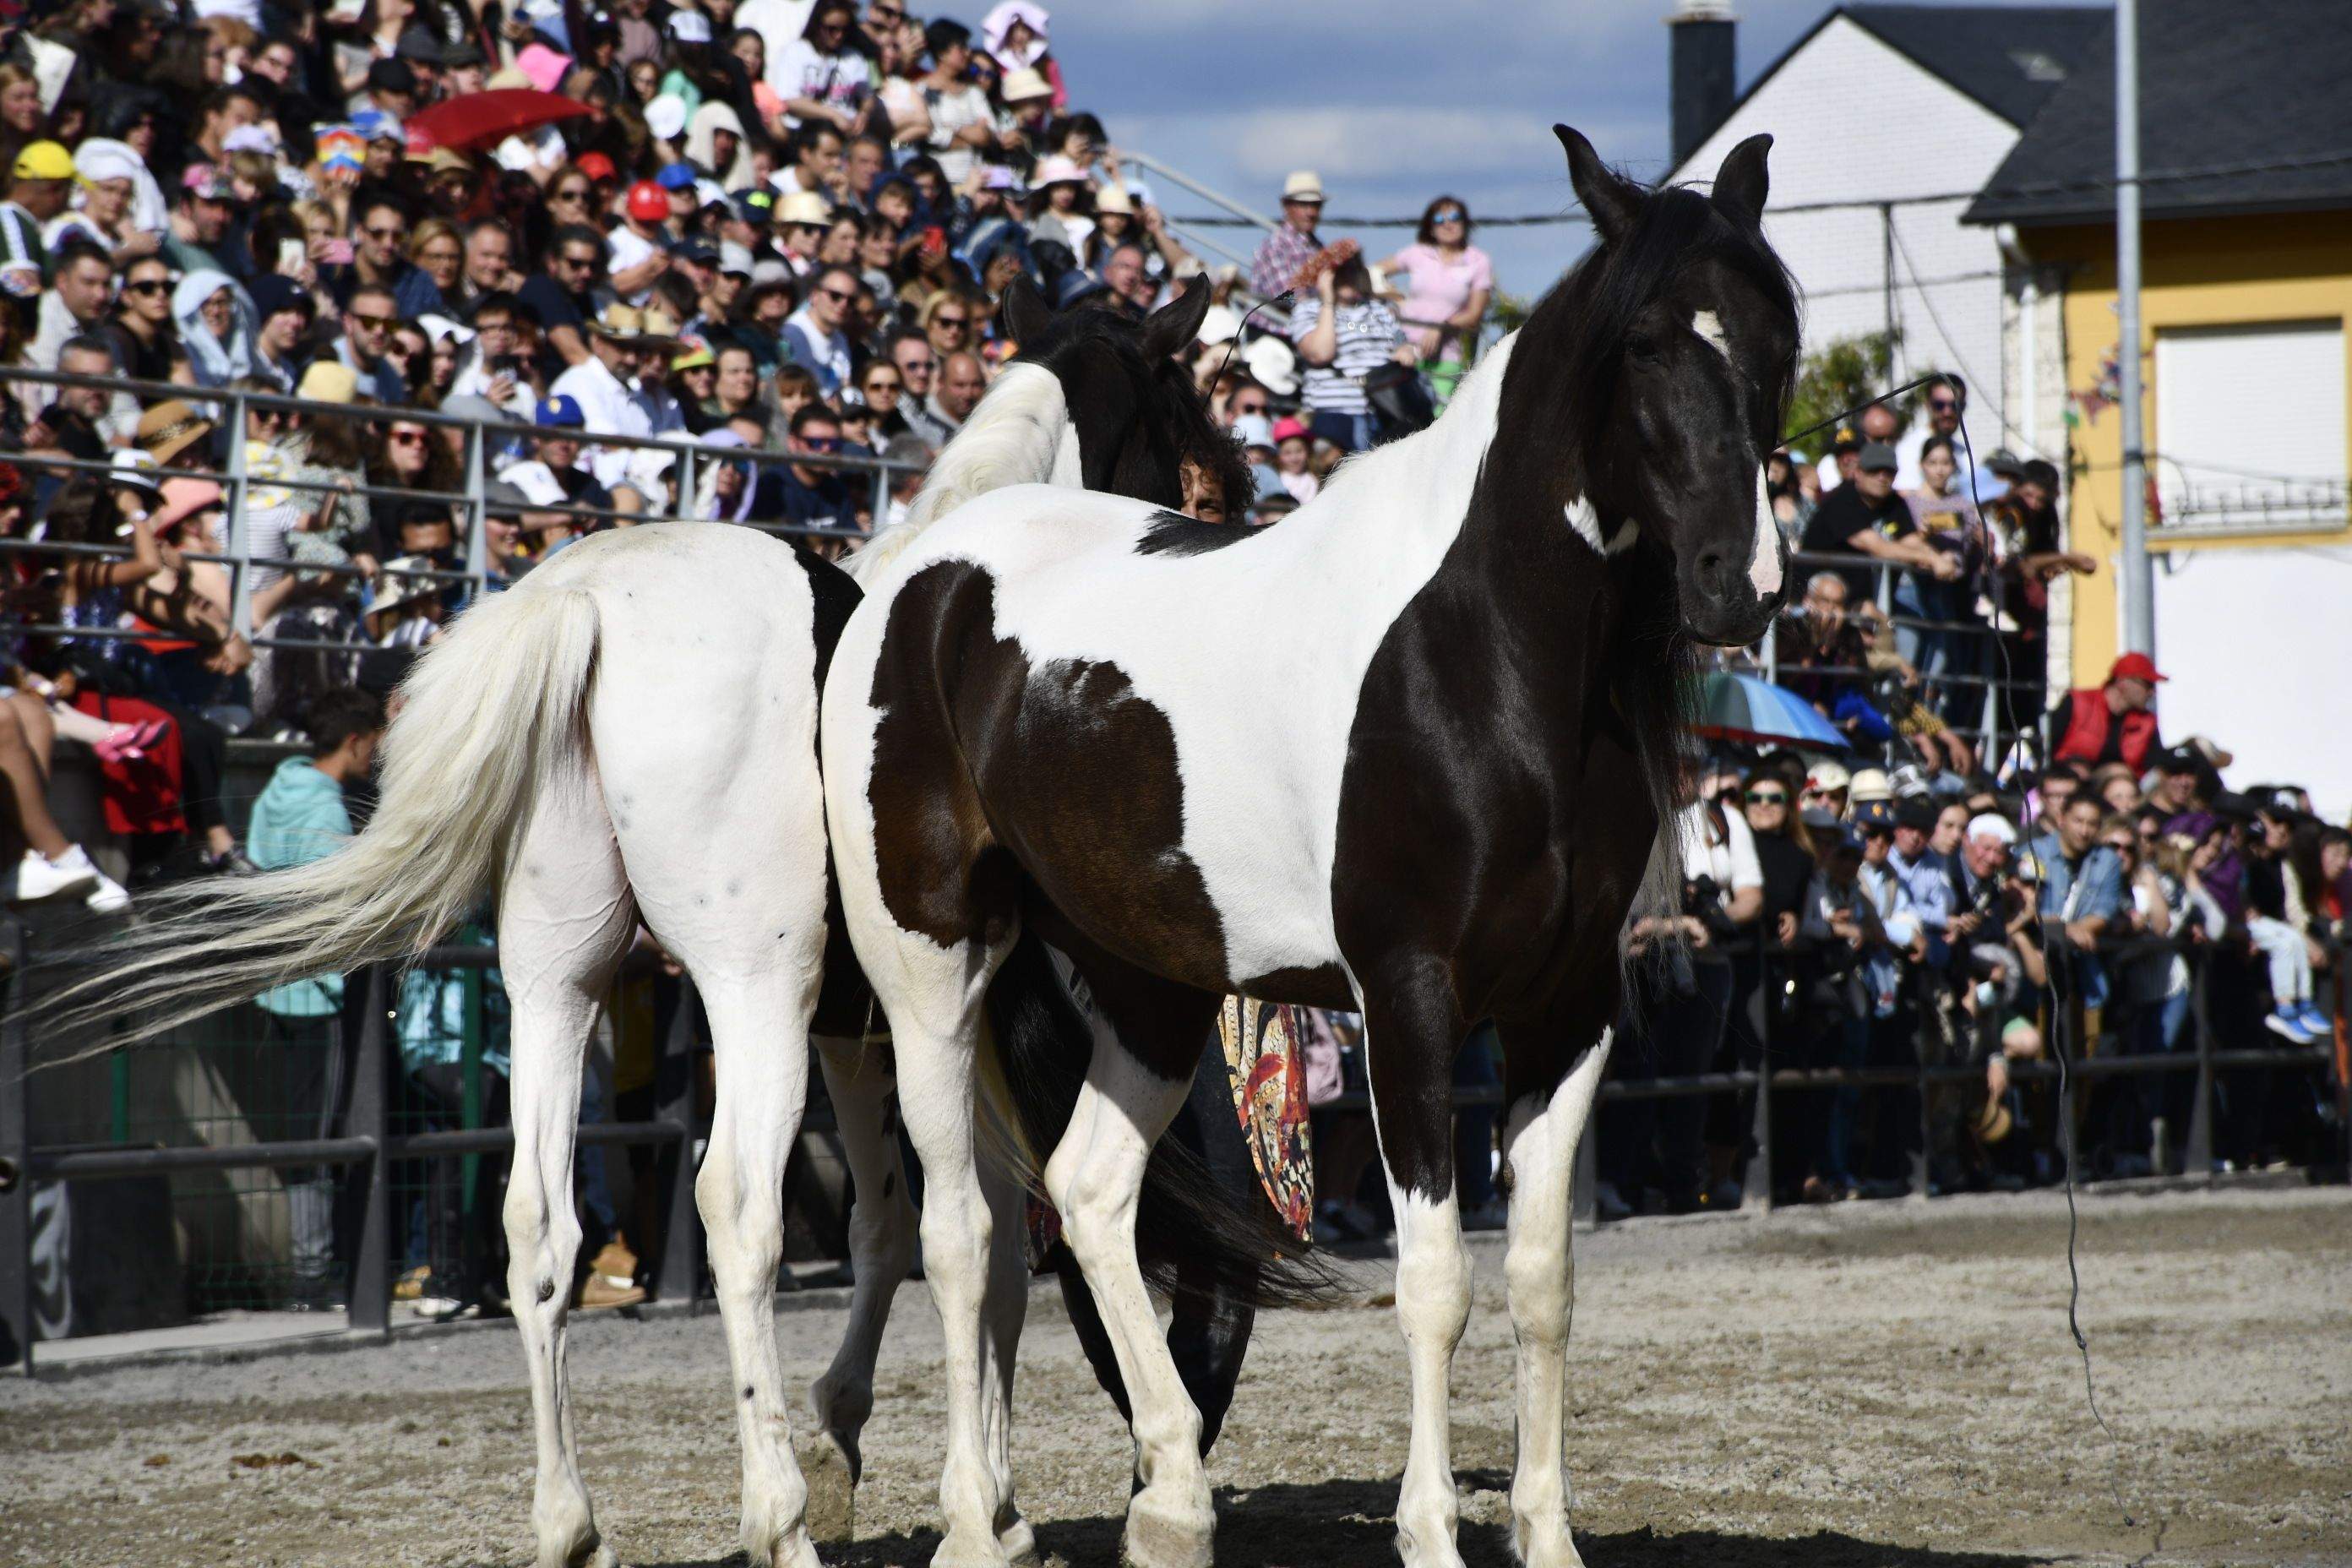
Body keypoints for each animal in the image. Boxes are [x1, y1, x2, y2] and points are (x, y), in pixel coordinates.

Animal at [50, 286, 1270, 1568]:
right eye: (1197, 436)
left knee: (539, 1222)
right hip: (748, 988)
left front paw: (877, 1453)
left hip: (557, 978)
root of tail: (583, 602)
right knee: (735, 1203)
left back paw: (571, 1523)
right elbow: (979, 1246)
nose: (1229, 511)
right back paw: (776, 1519)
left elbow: (893, 1226)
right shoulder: (945, 1011)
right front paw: (976, 1503)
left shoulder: (862, 1030)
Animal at [818, 125, 1787, 1568]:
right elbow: (1434, 1283)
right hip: (929, 972)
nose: (1739, 582)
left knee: (1090, 1193)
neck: (1483, 651)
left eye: (1776, 337)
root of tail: (918, 581)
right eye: (1648, 342)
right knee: (960, 1232)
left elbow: (1543, 1282)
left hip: (1151, 989)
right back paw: (976, 1524)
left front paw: (1546, 1535)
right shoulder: (1411, 1004)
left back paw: (1171, 1499)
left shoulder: (1567, 1012)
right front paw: (1432, 1535)